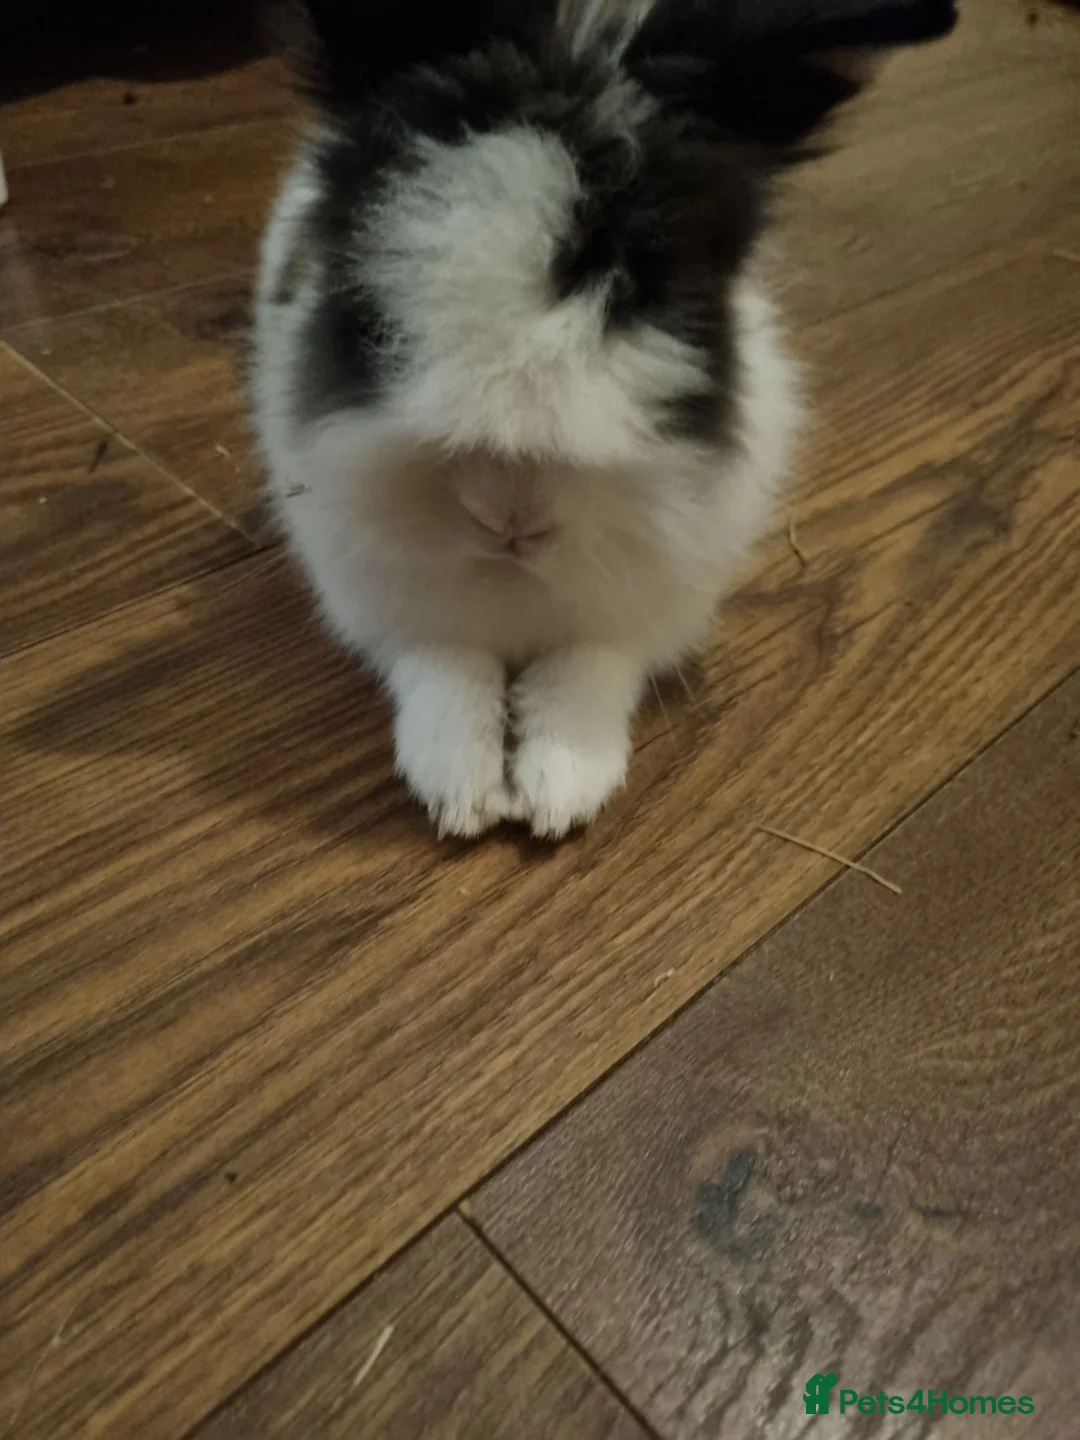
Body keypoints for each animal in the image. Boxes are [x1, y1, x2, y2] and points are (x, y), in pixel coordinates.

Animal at [252, 0, 957, 839]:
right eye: (373, 303)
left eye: (649, 294)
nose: (508, 513)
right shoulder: (387, 598)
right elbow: (446, 670)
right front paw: (461, 790)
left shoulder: (649, 604)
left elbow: (588, 669)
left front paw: (561, 790)